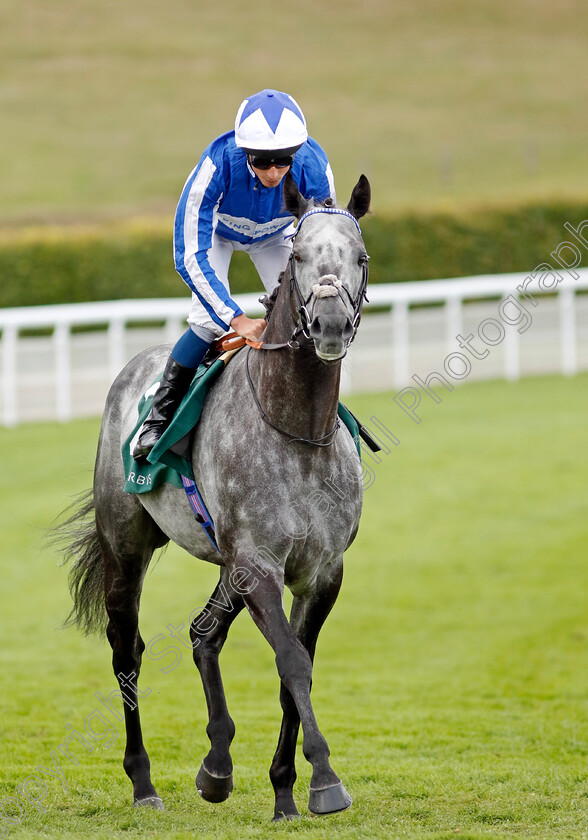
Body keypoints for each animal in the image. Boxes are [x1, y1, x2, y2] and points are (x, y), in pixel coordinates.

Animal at [58, 171, 372, 820]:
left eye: (360, 256)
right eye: (299, 256)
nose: (329, 324)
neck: (295, 430)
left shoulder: (321, 571)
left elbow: (294, 668)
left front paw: (285, 790)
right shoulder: (258, 564)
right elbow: (291, 660)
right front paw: (325, 780)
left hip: (226, 563)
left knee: (204, 634)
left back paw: (218, 767)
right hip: (126, 547)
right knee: (126, 650)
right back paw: (144, 783)